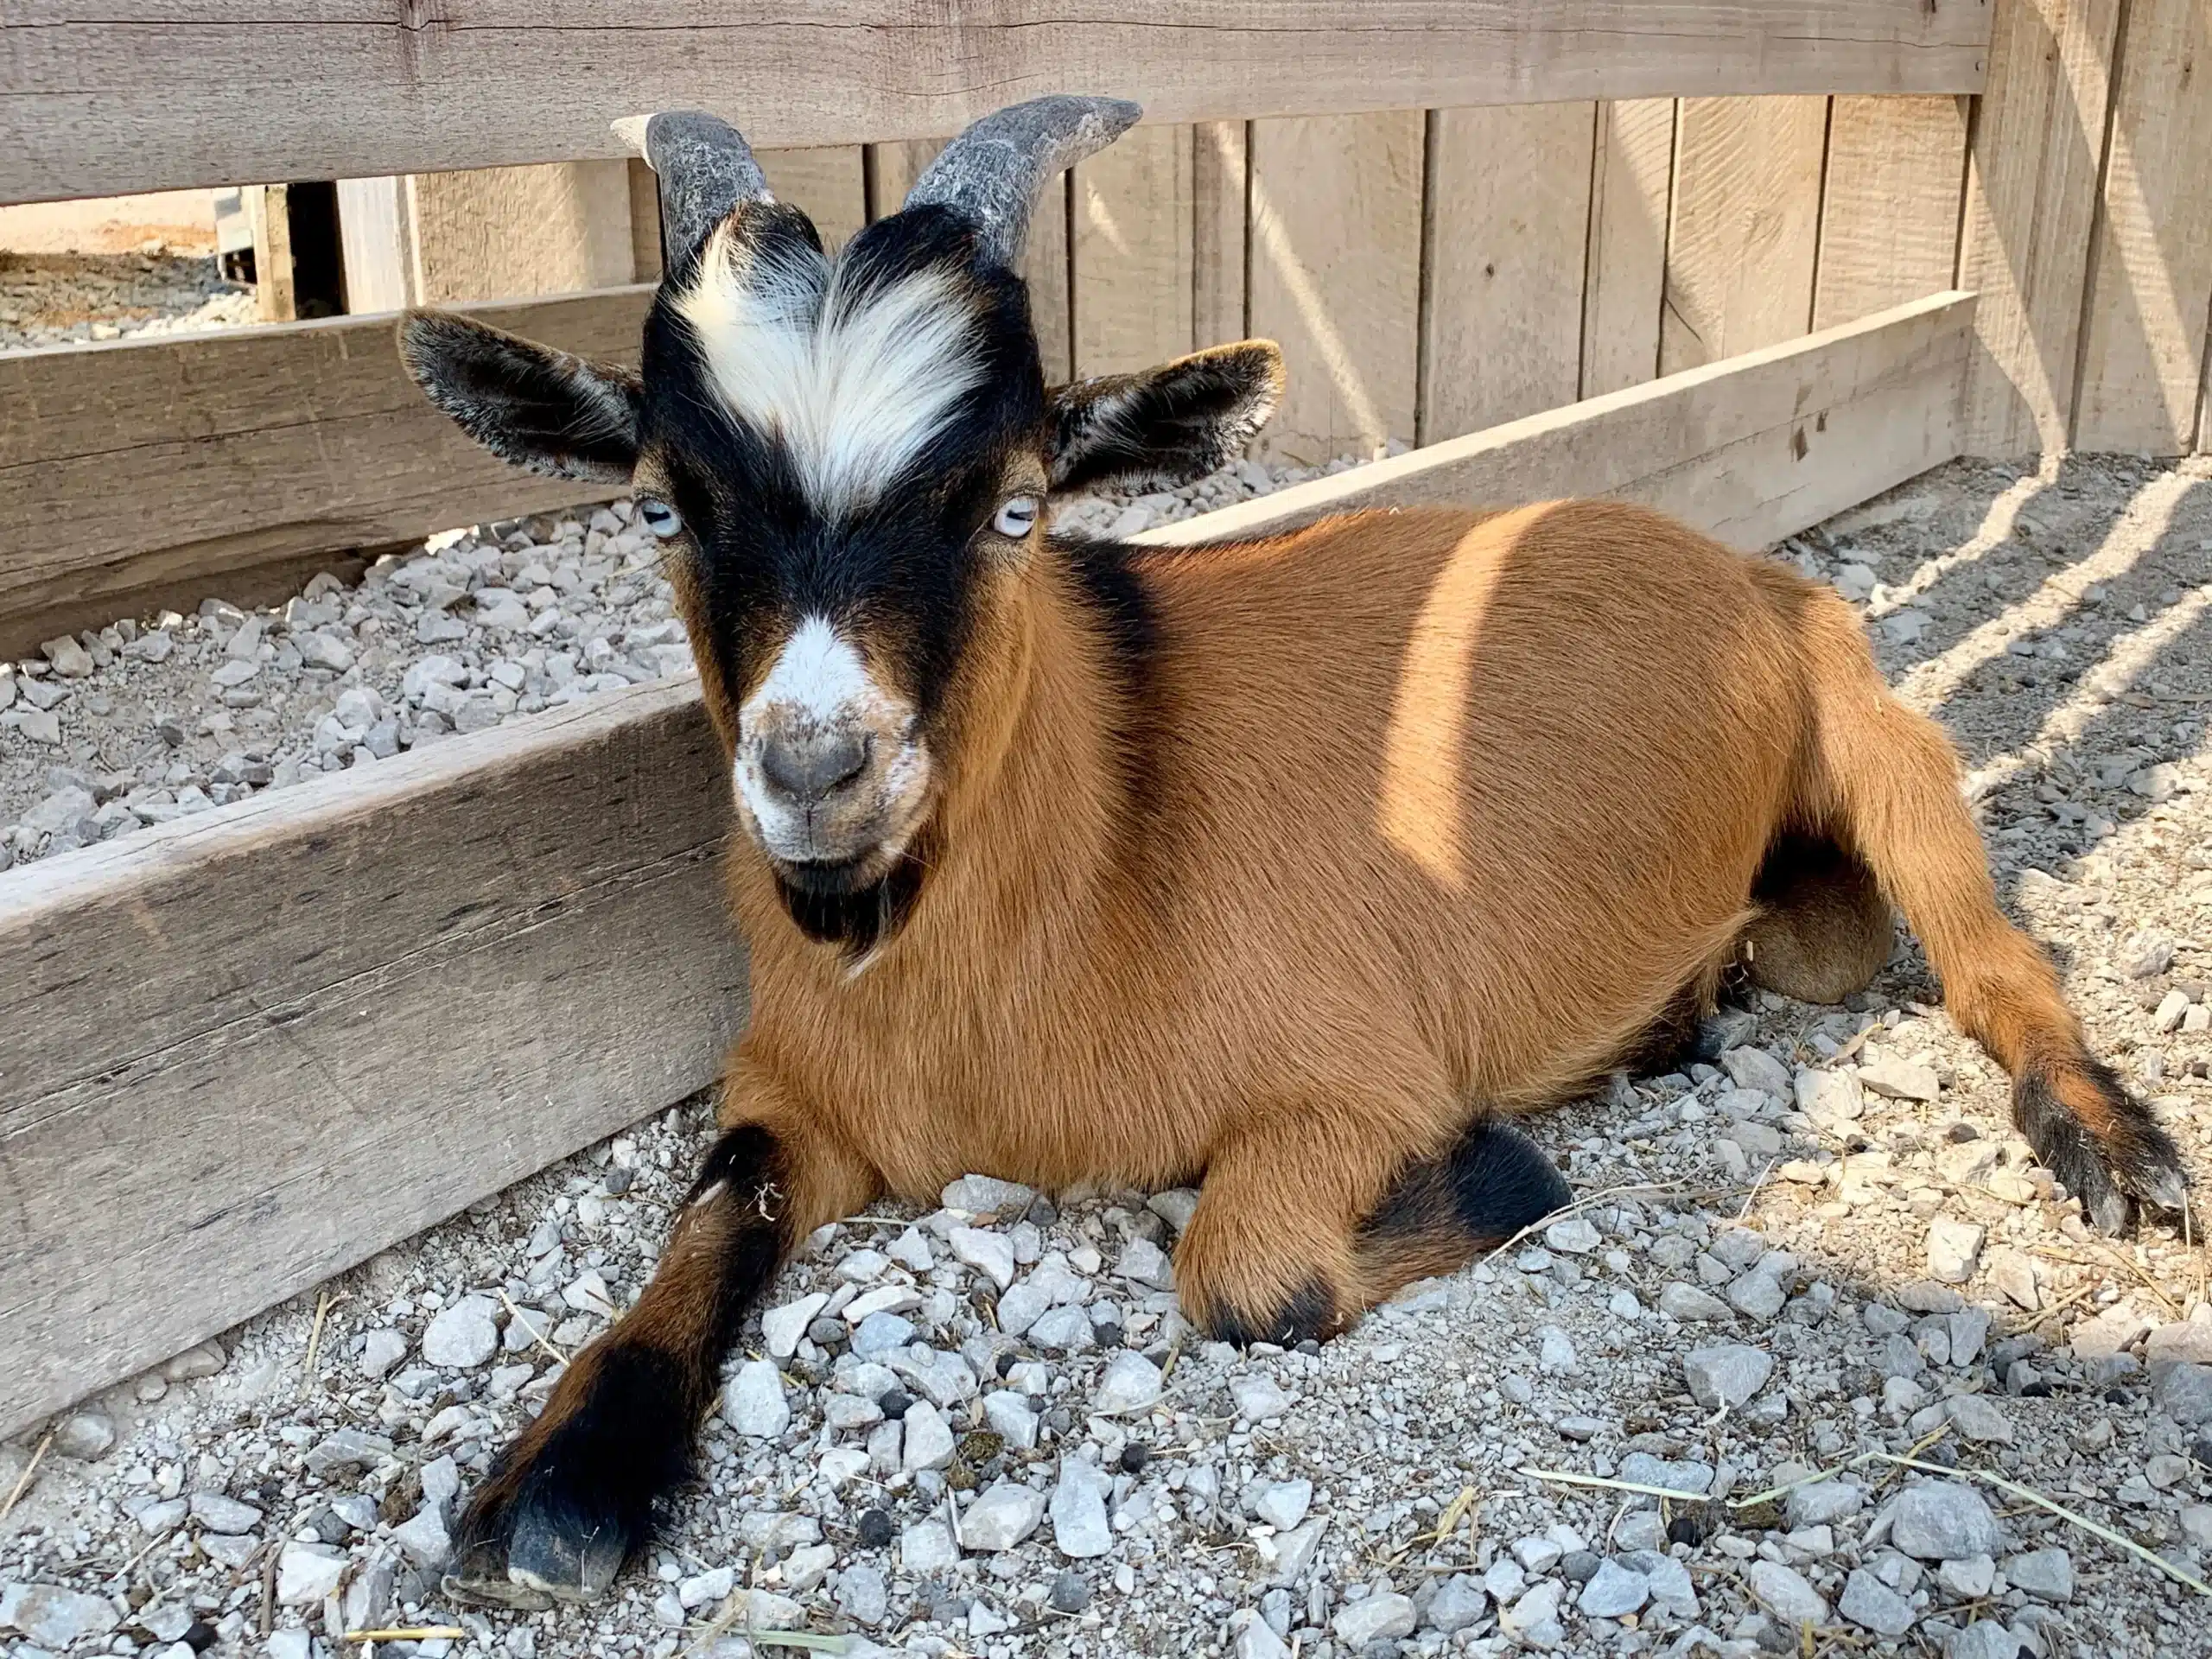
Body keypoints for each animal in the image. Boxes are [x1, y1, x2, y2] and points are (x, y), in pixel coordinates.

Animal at [399, 96, 2187, 1609]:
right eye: (659, 508)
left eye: (1018, 506)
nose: (817, 772)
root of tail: (1739, 569)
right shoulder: (797, 1085)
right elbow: (717, 1204)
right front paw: (561, 1480)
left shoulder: (1356, 1075)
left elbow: (1250, 1278)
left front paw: (1501, 1172)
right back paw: (1690, 1008)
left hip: (1885, 740)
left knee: (1983, 950)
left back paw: (2113, 1145)